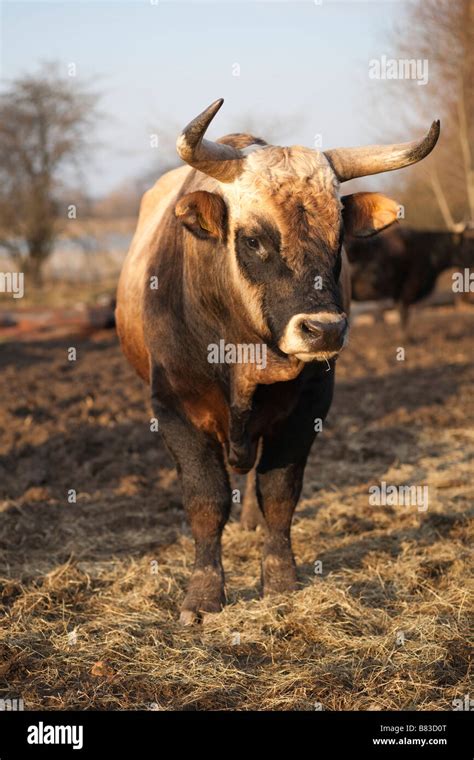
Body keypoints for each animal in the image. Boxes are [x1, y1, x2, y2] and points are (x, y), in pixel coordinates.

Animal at [115, 101, 440, 624]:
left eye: (340, 237)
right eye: (253, 240)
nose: (324, 330)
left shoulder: (306, 411)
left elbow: (279, 495)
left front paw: (282, 582)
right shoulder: (174, 409)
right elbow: (206, 501)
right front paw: (203, 597)